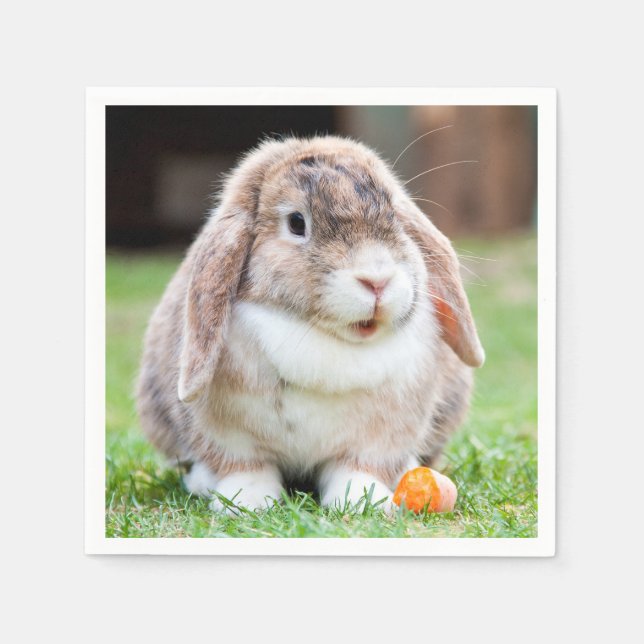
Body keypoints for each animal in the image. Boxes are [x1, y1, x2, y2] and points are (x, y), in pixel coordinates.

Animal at [136, 135, 484, 514]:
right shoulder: (230, 437)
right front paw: (246, 502)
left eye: (393, 214)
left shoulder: (378, 438)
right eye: (296, 223)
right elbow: (246, 468)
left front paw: (362, 502)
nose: (377, 280)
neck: (323, 338)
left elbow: (357, 469)